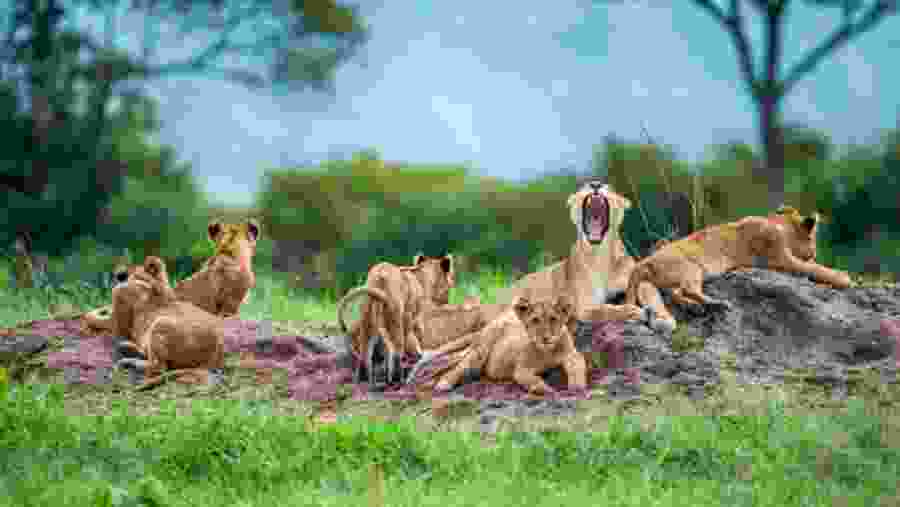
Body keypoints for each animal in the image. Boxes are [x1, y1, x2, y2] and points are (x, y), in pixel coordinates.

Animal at [109, 256, 226, 391]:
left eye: (133, 273)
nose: (119, 275)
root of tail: (214, 361)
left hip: (160, 324)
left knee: (159, 367)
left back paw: (129, 359)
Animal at [336, 254, 456, 384]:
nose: (447, 301)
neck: (422, 280)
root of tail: (379, 277)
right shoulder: (410, 317)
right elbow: (413, 338)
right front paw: (416, 355)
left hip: (367, 316)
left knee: (365, 349)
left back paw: (362, 379)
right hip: (395, 316)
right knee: (397, 350)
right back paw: (398, 378)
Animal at [417, 295, 586, 396]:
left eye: (553, 319)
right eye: (535, 320)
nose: (545, 338)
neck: (547, 351)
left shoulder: (572, 355)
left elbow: (577, 367)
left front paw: (577, 386)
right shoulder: (521, 369)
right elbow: (533, 380)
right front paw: (546, 389)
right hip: (481, 350)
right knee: (459, 367)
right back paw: (443, 384)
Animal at [625, 205, 854, 332]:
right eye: (813, 239)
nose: (814, 251)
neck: (778, 224)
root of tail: (641, 263)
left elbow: (815, 267)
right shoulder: (781, 258)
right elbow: (815, 269)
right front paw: (844, 278)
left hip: (671, 278)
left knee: (676, 293)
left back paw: (696, 307)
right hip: (690, 267)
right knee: (688, 289)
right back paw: (717, 304)